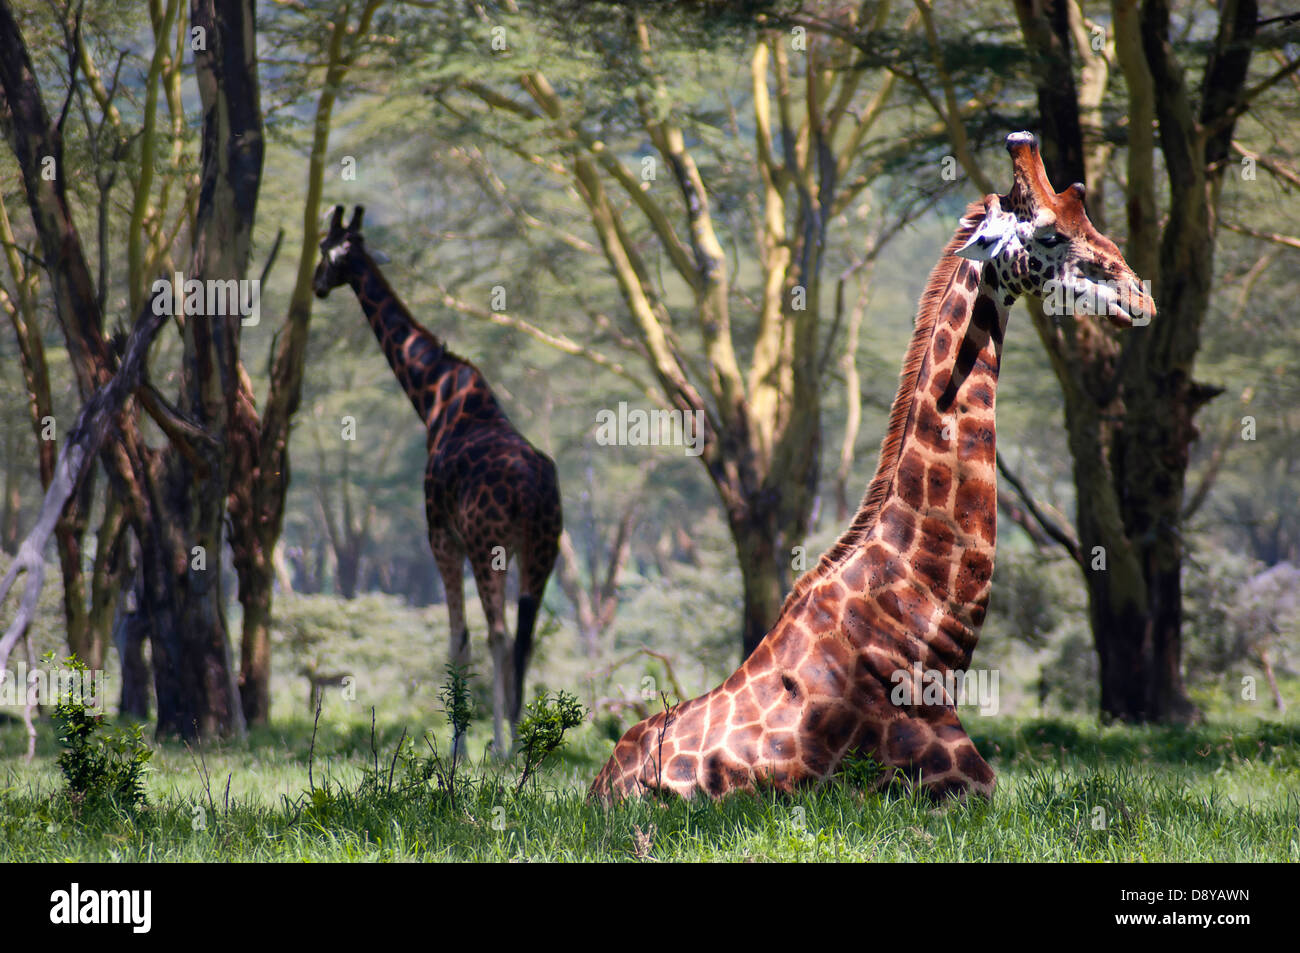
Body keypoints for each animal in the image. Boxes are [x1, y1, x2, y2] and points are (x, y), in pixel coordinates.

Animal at [314, 204, 564, 754]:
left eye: (324, 248)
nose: (317, 285)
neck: (431, 399)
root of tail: (535, 490)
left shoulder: (441, 536)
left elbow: (458, 640)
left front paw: (460, 747)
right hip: (542, 549)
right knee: (523, 637)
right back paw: (521, 740)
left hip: (490, 546)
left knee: (498, 635)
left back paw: (503, 747)